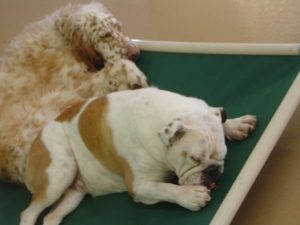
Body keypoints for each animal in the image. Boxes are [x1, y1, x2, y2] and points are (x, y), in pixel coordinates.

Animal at [0, 1, 148, 184]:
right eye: (105, 35)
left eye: (117, 27)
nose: (136, 53)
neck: (61, 35)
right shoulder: (75, 83)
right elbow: (113, 69)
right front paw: (131, 75)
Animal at [20, 88, 255, 225]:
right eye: (194, 159)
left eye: (222, 157)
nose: (213, 171)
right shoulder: (140, 186)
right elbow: (165, 188)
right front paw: (189, 196)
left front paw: (234, 124)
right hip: (59, 172)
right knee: (28, 213)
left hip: (73, 194)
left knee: (50, 217)